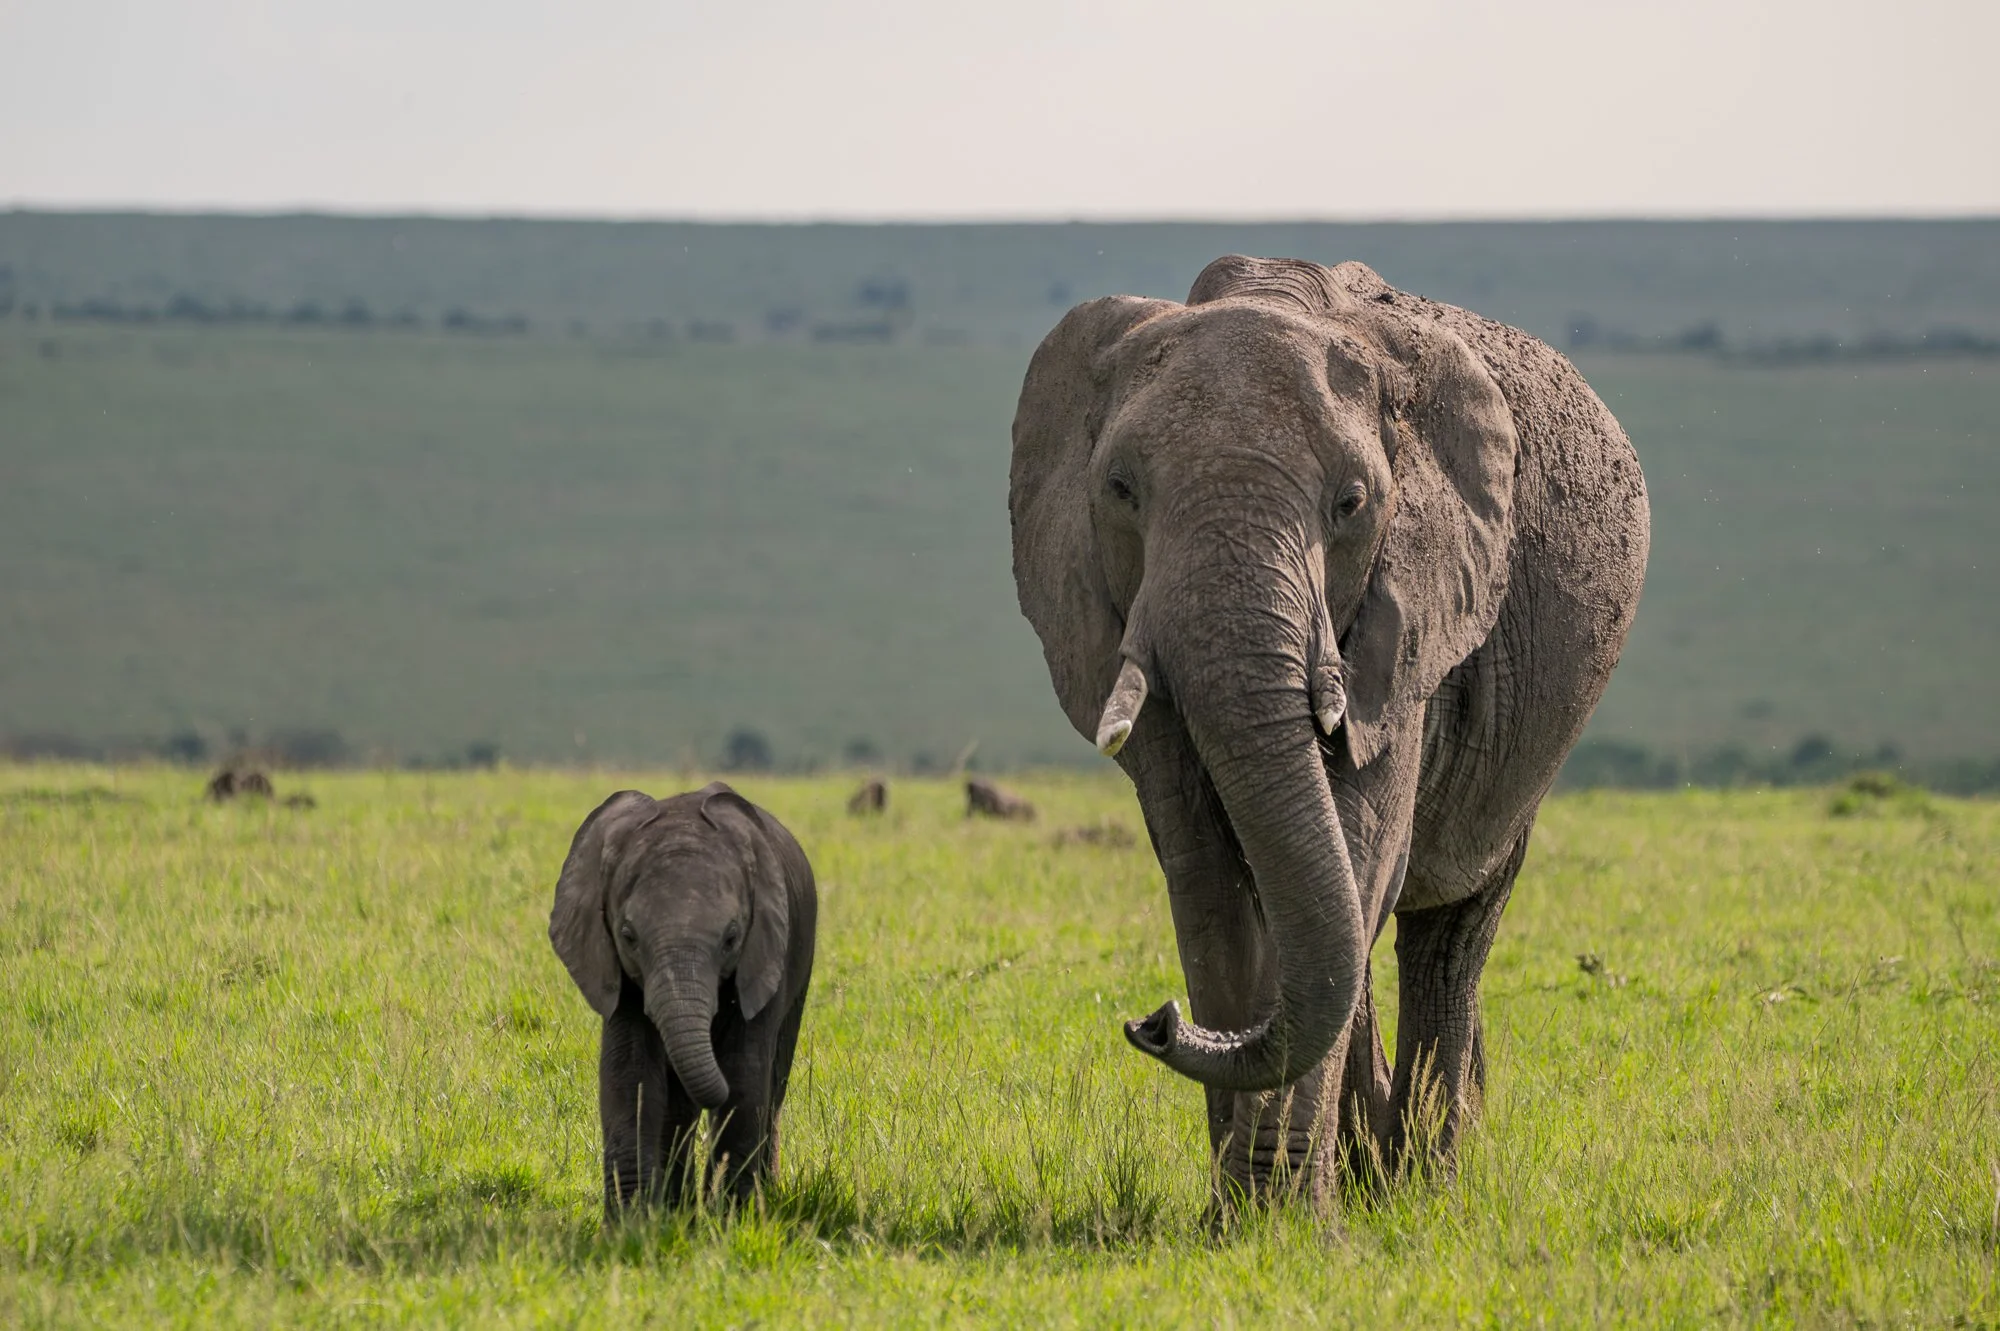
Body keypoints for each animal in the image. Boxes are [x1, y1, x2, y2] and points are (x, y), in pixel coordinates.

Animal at [549, 781, 817, 1214]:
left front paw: (733, 1218)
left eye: (730, 938)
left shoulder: (764, 953)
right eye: (628, 936)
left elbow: (744, 1073)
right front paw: (632, 1222)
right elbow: (630, 1072)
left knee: (772, 1080)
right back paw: (678, 1209)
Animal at [1008, 255, 1648, 1204]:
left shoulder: (1414, 613)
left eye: (1351, 503)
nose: (1153, 1019)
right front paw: (1248, 1211)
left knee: (1449, 927)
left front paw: (1284, 1215)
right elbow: (1205, 874)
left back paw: (1422, 1183)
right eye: (1120, 491)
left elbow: (1360, 838)